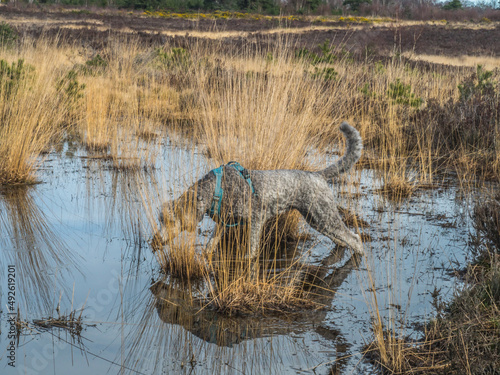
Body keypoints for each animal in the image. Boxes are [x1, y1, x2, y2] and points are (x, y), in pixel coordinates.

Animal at [153, 122, 364, 260]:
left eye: (170, 221)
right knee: (342, 238)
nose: (154, 242)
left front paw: (247, 259)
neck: (217, 188)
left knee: (354, 238)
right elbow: (210, 244)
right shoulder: (223, 222)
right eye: (161, 221)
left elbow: (252, 248)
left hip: (324, 216)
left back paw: (359, 255)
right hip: (317, 219)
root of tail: (318, 175)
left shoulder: (256, 219)